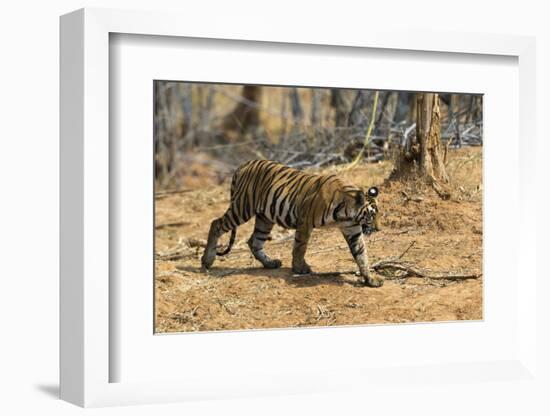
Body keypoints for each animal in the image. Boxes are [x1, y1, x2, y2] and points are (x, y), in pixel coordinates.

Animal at [202, 159, 384, 286]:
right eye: (371, 215)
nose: (378, 229)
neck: (346, 214)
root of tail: (244, 164)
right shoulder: (305, 222)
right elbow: (299, 247)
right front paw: (299, 269)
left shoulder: (352, 229)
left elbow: (361, 254)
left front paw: (370, 279)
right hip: (242, 208)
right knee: (216, 224)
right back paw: (207, 260)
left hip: (264, 218)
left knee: (254, 241)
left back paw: (270, 263)